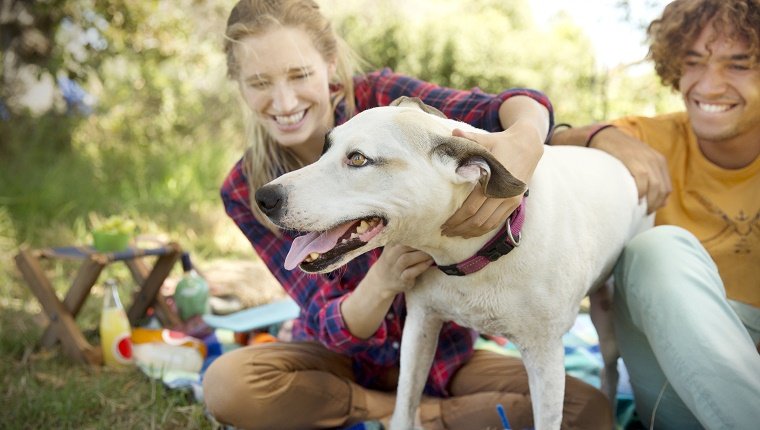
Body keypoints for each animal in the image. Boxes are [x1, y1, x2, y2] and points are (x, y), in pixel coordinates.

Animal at [258, 98, 652, 430]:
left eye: (357, 159)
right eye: (325, 148)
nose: (263, 197)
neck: (475, 256)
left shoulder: (546, 358)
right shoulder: (420, 327)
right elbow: (403, 407)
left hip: (605, 316)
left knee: (610, 367)